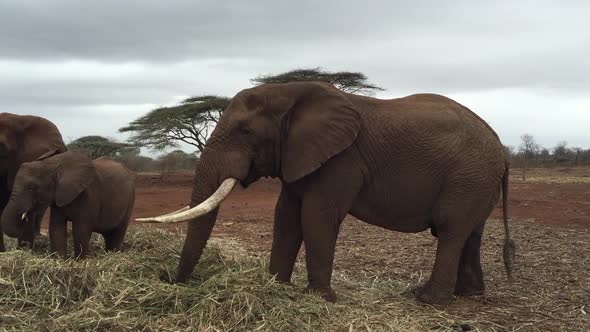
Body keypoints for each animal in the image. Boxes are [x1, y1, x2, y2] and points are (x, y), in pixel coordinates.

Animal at [0, 150, 135, 256]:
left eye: (32, 187)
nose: (25, 216)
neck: (52, 164)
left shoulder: (88, 194)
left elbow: (81, 231)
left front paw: (80, 261)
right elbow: (56, 228)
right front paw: (60, 260)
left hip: (131, 198)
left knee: (118, 232)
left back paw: (113, 254)